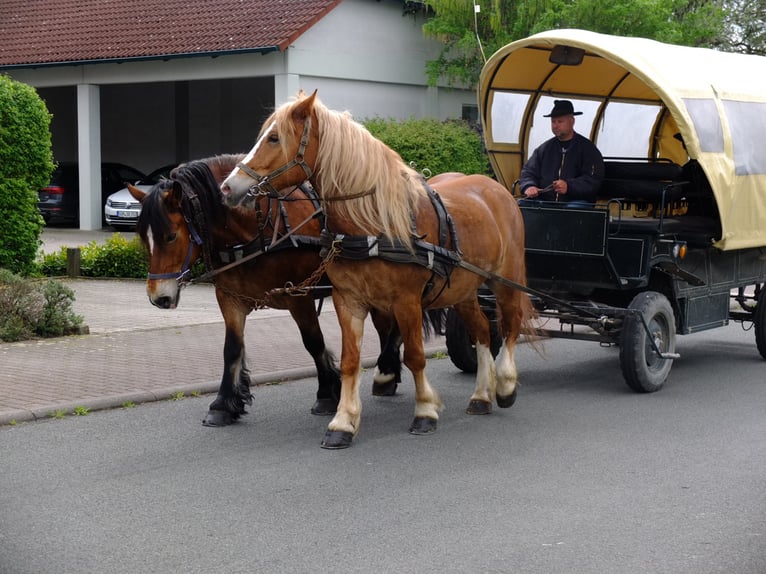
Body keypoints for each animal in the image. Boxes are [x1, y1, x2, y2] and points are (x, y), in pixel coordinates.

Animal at [130, 156, 414, 428]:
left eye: (170, 236)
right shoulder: (230, 298)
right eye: (143, 237)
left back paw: (385, 370)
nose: (158, 297)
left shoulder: (298, 295)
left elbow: (313, 342)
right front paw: (224, 405)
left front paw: (326, 393)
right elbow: (232, 349)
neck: (257, 230)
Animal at [219, 91, 536, 450]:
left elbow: (415, 356)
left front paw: (425, 411)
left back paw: (505, 385)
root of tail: (493, 187)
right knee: (482, 330)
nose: (228, 188)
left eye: (274, 138)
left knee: (510, 325)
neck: (372, 224)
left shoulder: (407, 302)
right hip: (463, 289)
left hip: (505, 281)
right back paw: (482, 395)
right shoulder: (348, 300)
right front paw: (343, 422)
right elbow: (350, 361)